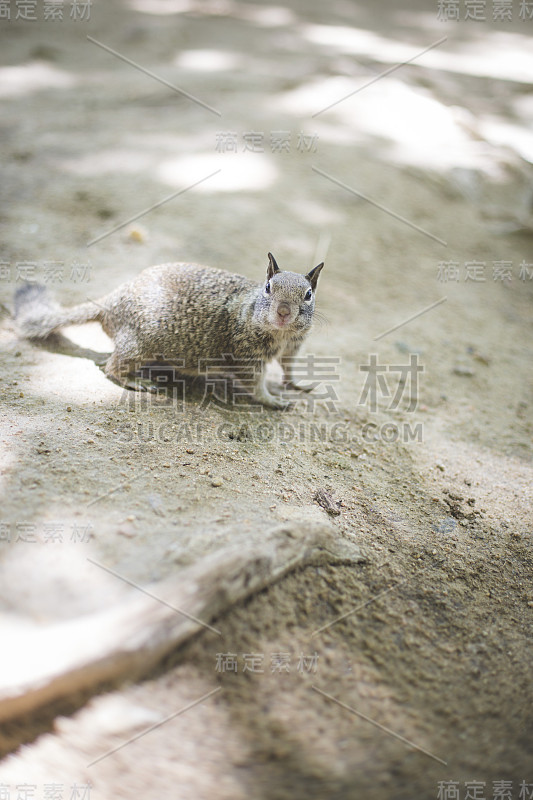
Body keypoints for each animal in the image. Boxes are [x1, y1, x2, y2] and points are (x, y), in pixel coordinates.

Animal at [13, 253, 324, 410]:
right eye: (268, 287)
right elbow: (254, 385)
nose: (283, 312)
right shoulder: (246, 357)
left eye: (308, 294)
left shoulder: (293, 346)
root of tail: (110, 301)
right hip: (138, 346)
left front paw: (296, 384)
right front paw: (273, 400)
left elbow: (288, 368)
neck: (282, 335)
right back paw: (135, 381)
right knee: (110, 367)